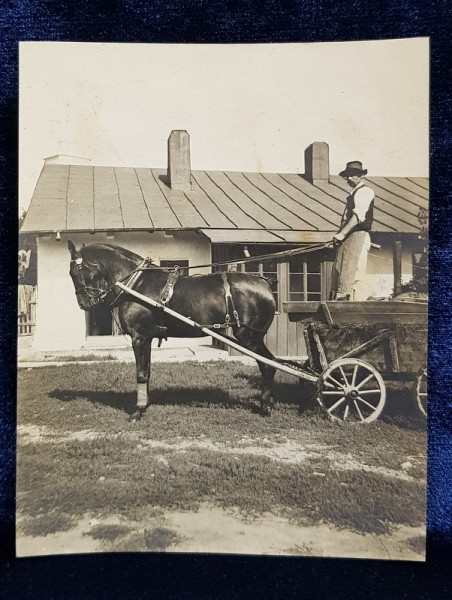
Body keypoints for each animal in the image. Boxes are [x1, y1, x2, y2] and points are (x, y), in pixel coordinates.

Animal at [67, 241, 278, 420]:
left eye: (75, 272)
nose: (84, 304)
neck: (137, 285)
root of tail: (265, 285)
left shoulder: (139, 337)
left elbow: (141, 373)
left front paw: (138, 410)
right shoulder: (147, 337)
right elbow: (147, 372)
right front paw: (145, 404)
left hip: (250, 337)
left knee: (268, 365)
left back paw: (265, 406)